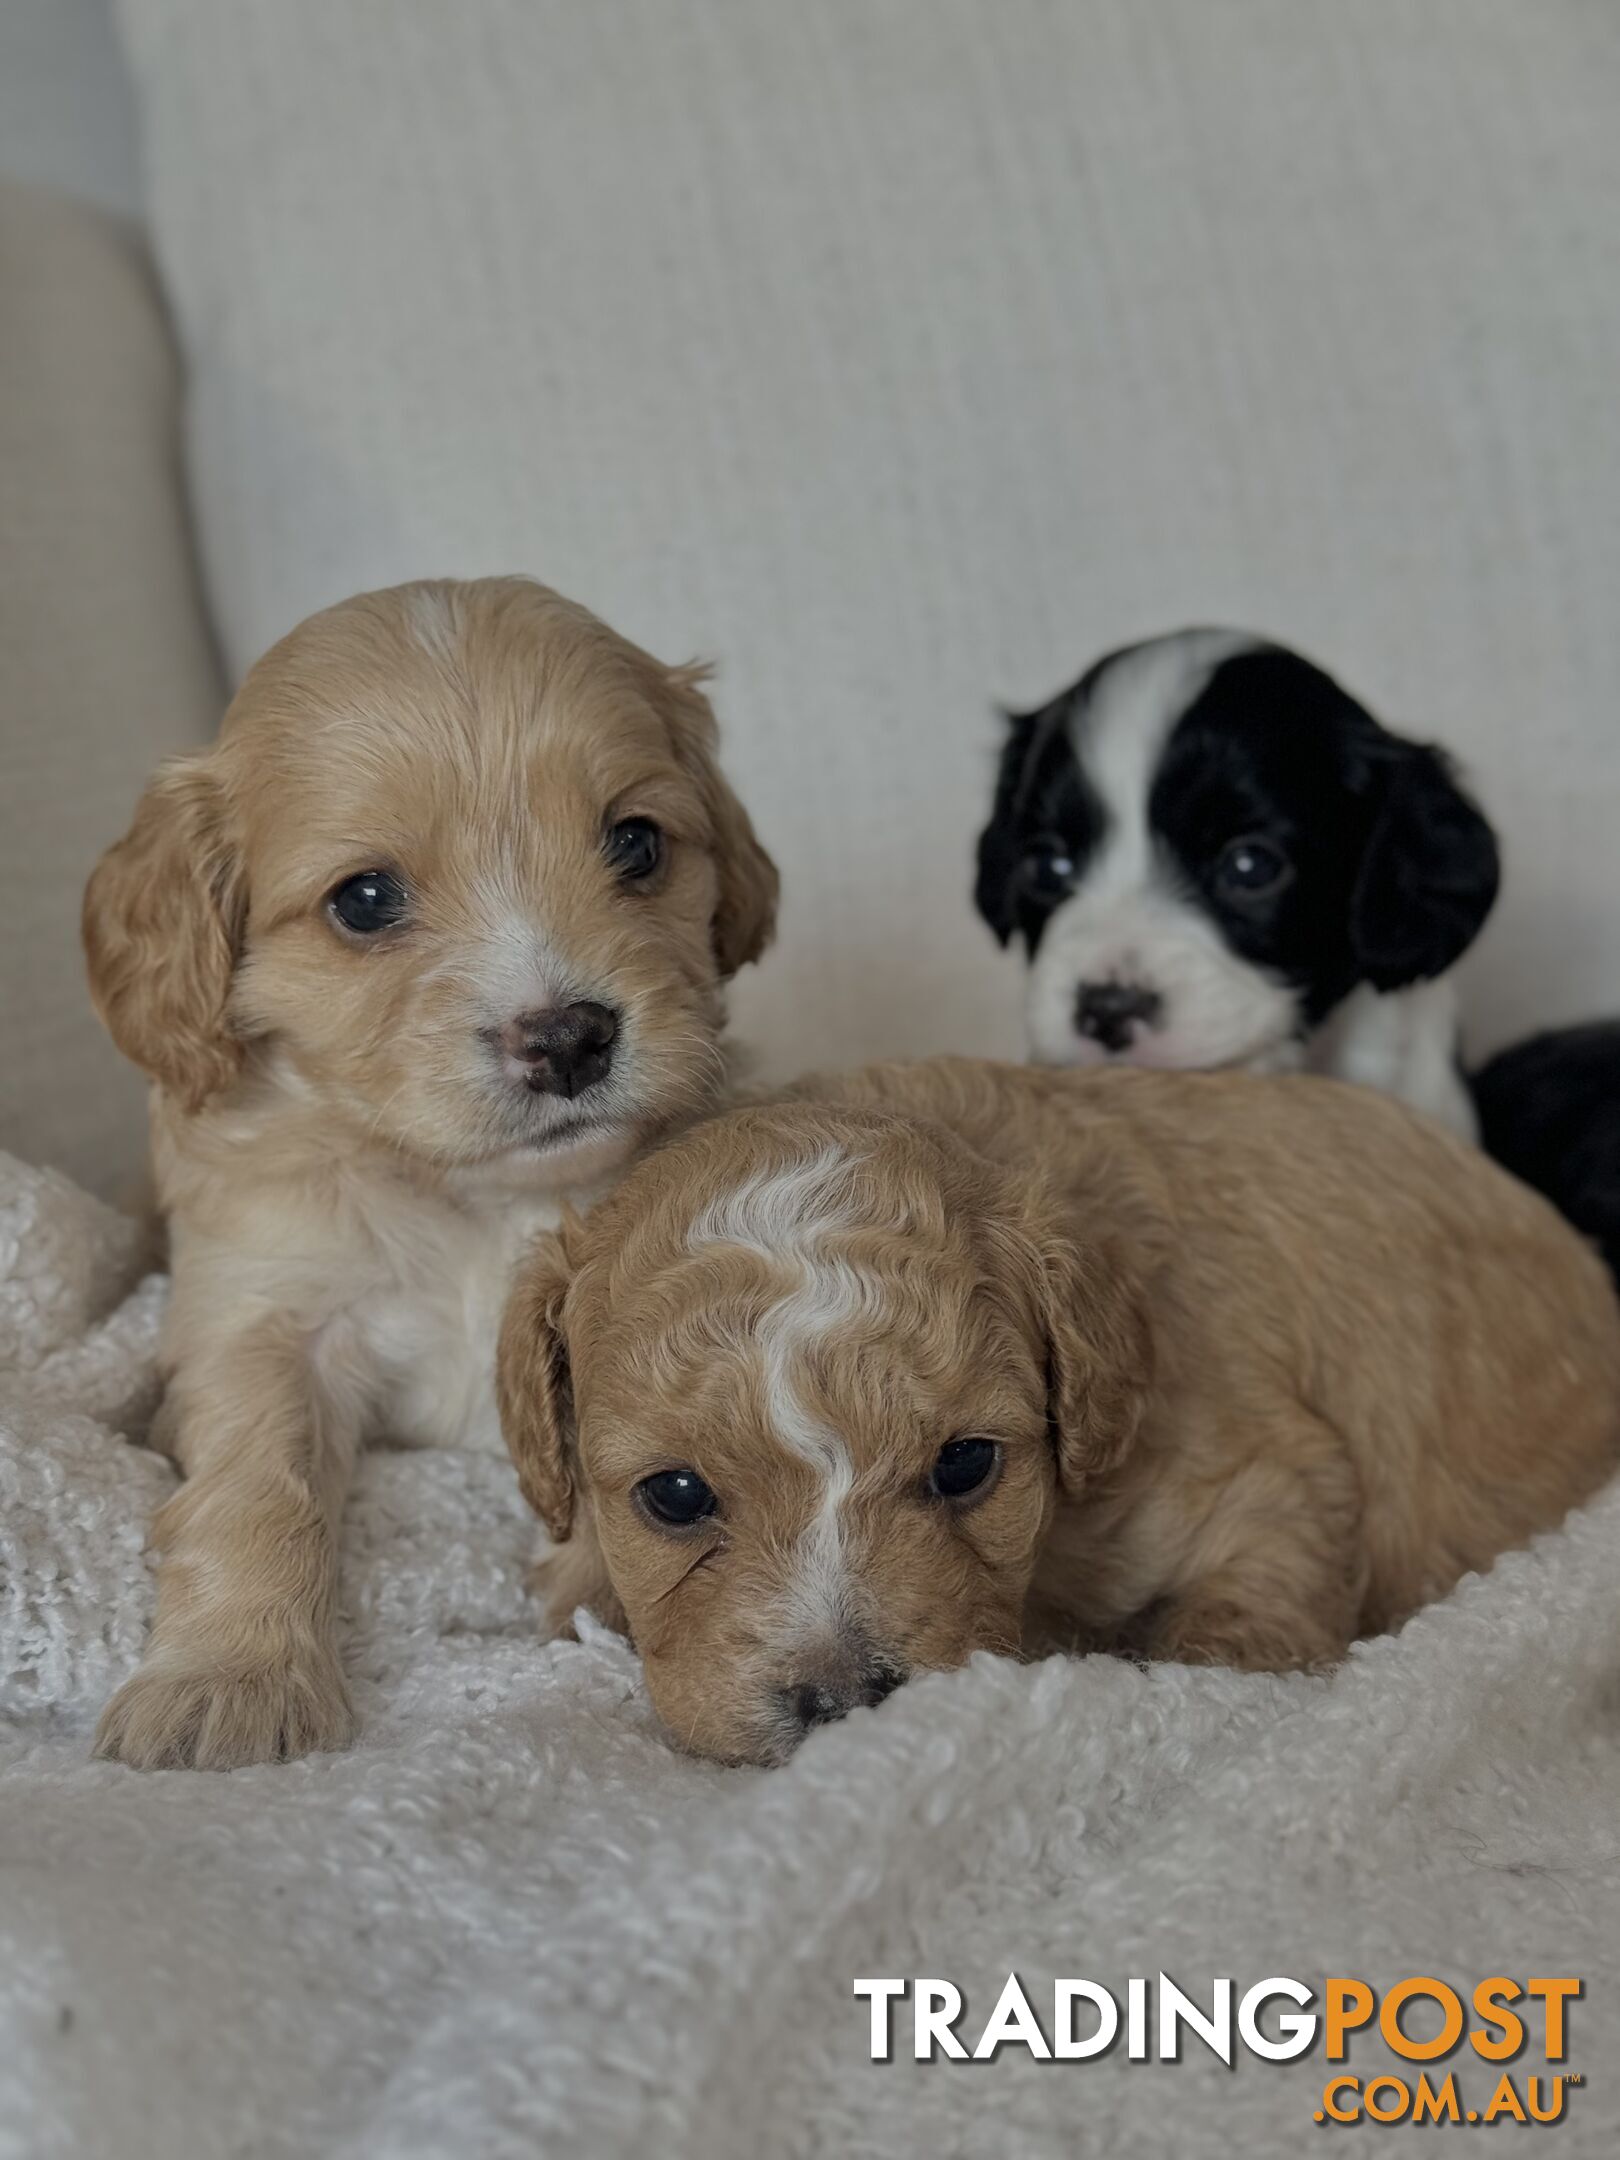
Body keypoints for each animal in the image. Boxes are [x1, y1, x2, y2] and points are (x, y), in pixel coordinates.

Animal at [82, 578, 781, 1771]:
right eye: (365, 900)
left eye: (636, 843)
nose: (569, 1038)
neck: (476, 1197)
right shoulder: (259, 1313)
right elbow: (254, 1485)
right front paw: (227, 1676)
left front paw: (604, 1594)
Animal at [505, 1054, 1620, 1762]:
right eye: (675, 1495)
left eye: (965, 1464)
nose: (846, 1700)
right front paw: (584, 1579)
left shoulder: (1262, 1474)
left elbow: (1244, 1606)